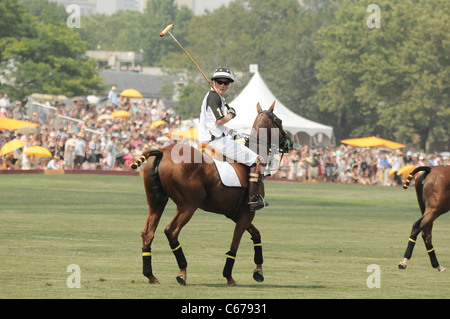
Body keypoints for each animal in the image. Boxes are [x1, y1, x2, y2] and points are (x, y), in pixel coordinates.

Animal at [131, 101, 292, 286]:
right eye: (279, 120)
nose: (290, 144)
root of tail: (162, 151)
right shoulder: (247, 213)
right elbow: (235, 244)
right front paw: (229, 276)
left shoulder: (234, 213)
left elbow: (256, 234)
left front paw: (258, 270)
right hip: (188, 206)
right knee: (171, 231)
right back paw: (182, 272)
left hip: (157, 202)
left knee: (148, 232)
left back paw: (150, 275)